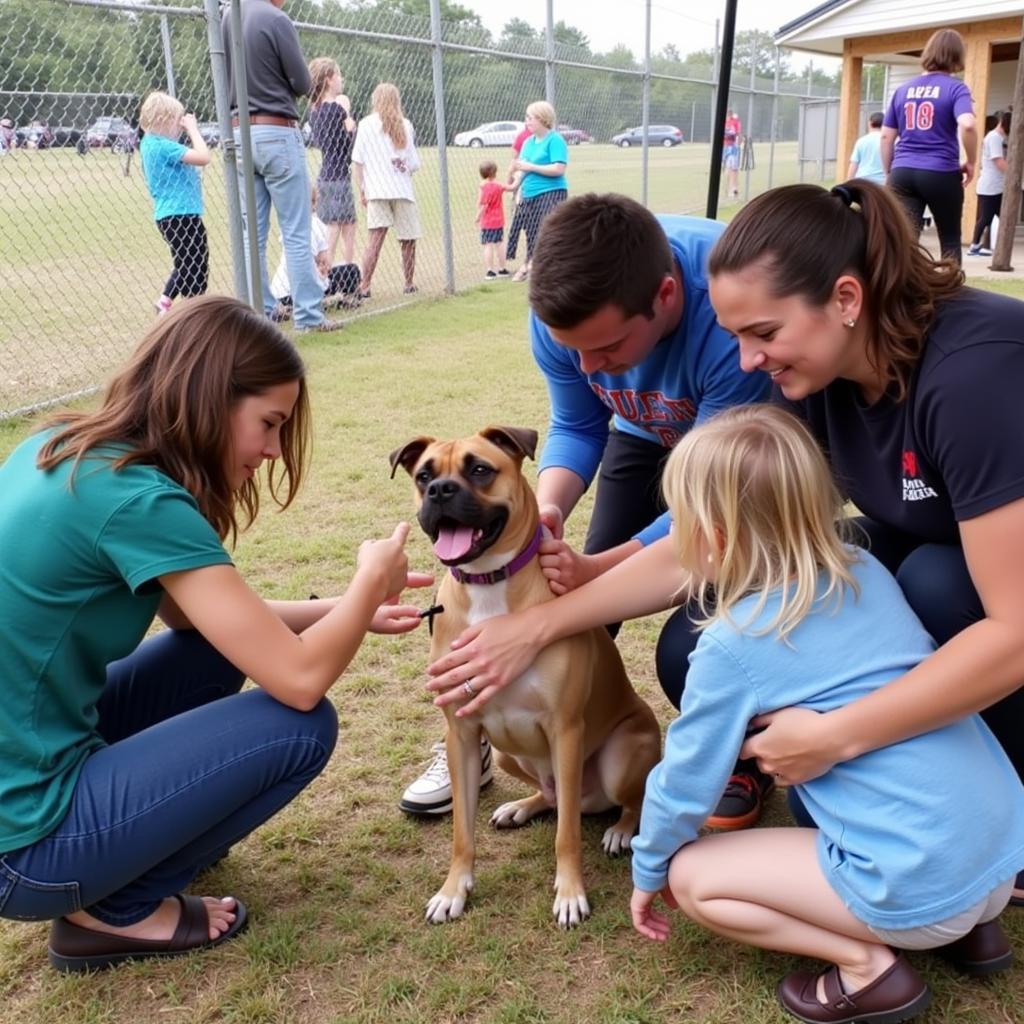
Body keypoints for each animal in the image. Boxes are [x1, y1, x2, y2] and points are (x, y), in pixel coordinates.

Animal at [387, 423, 659, 929]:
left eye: (479, 469)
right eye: (423, 475)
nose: (440, 490)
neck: (489, 583)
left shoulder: (565, 730)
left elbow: (567, 834)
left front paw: (570, 893)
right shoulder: (462, 733)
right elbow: (462, 833)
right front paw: (453, 890)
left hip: (618, 760)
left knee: (620, 801)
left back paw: (620, 829)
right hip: (508, 753)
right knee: (552, 797)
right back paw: (520, 807)